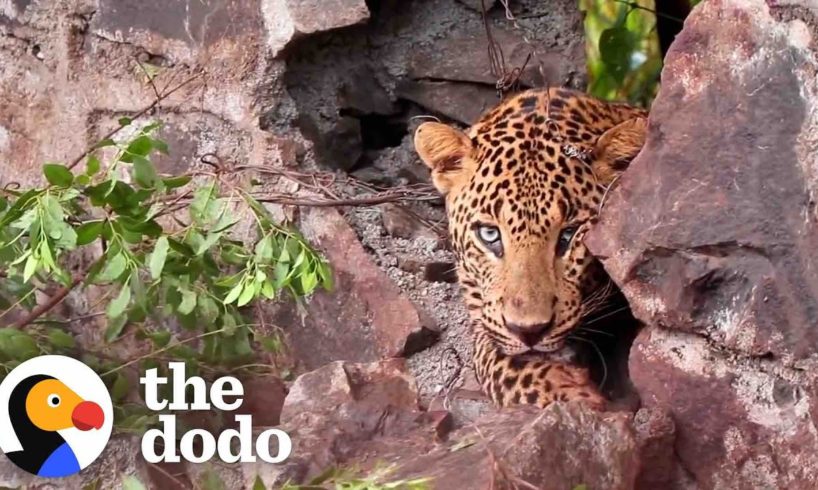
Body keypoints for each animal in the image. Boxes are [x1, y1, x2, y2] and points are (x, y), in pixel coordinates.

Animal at [412, 88, 648, 410]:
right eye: (489, 235)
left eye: (569, 234)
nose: (529, 330)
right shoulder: (483, 320)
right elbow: (498, 365)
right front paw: (572, 393)